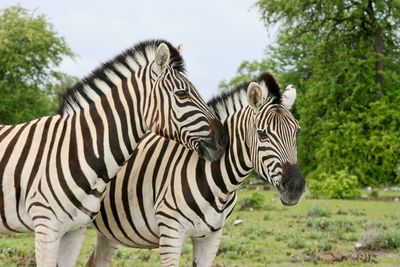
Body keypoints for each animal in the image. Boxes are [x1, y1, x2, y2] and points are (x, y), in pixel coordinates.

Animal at [88, 72, 306, 266]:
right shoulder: (171, 232)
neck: (220, 186)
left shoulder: (211, 236)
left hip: (108, 232)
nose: (295, 187)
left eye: (297, 131)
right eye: (262, 134)